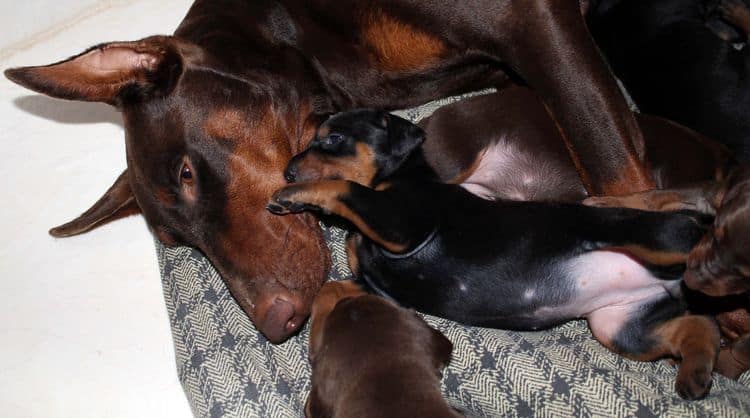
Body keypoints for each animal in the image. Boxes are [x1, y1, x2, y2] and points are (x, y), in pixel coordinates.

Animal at [7, 0, 664, 342]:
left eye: (188, 173)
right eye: (176, 242)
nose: (276, 323)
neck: (292, 37)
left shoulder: (529, 20)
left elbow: (617, 170)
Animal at [270, 109, 724, 400]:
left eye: (332, 138)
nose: (288, 171)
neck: (402, 177)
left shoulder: (404, 225)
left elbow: (345, 188)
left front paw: (291, 195)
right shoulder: (373, 282)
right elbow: (329, 289)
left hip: (646, 235)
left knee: (689, 245)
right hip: (619, 326)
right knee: (697, 325)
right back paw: (697, 371)